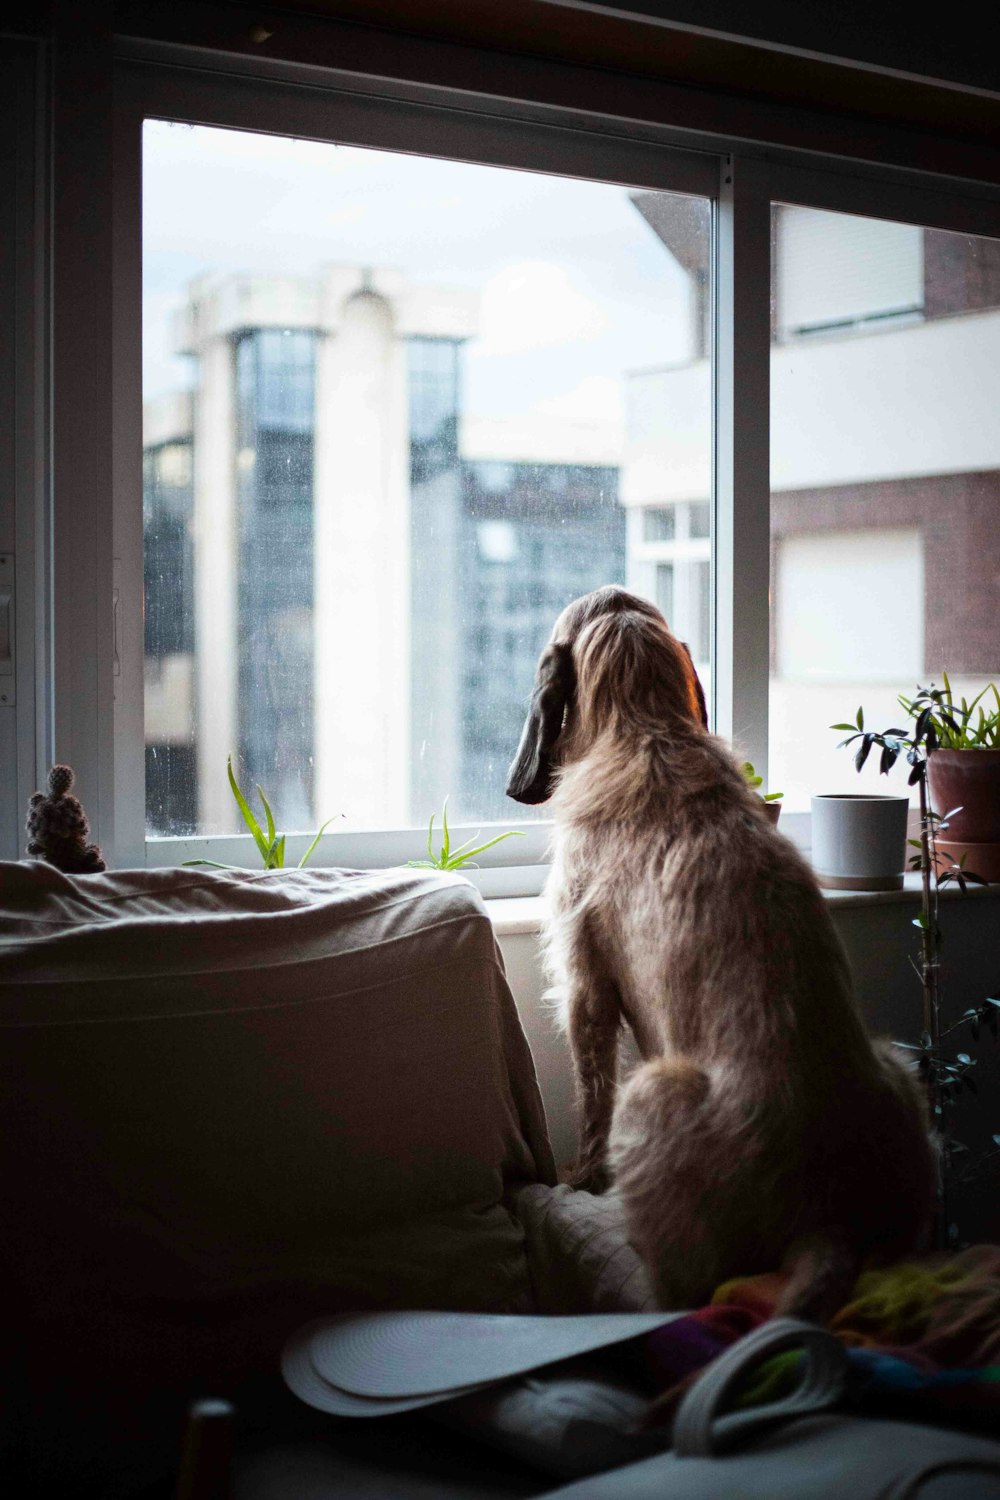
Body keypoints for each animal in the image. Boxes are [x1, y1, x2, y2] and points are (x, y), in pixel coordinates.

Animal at [509, 585, 941, 1314]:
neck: (647, 728)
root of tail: (825, 1221)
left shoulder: (586, 986)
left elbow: (590, 1095)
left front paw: (581, 1176)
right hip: (900, 1066)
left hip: (652, 1090)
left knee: (688, 1285)